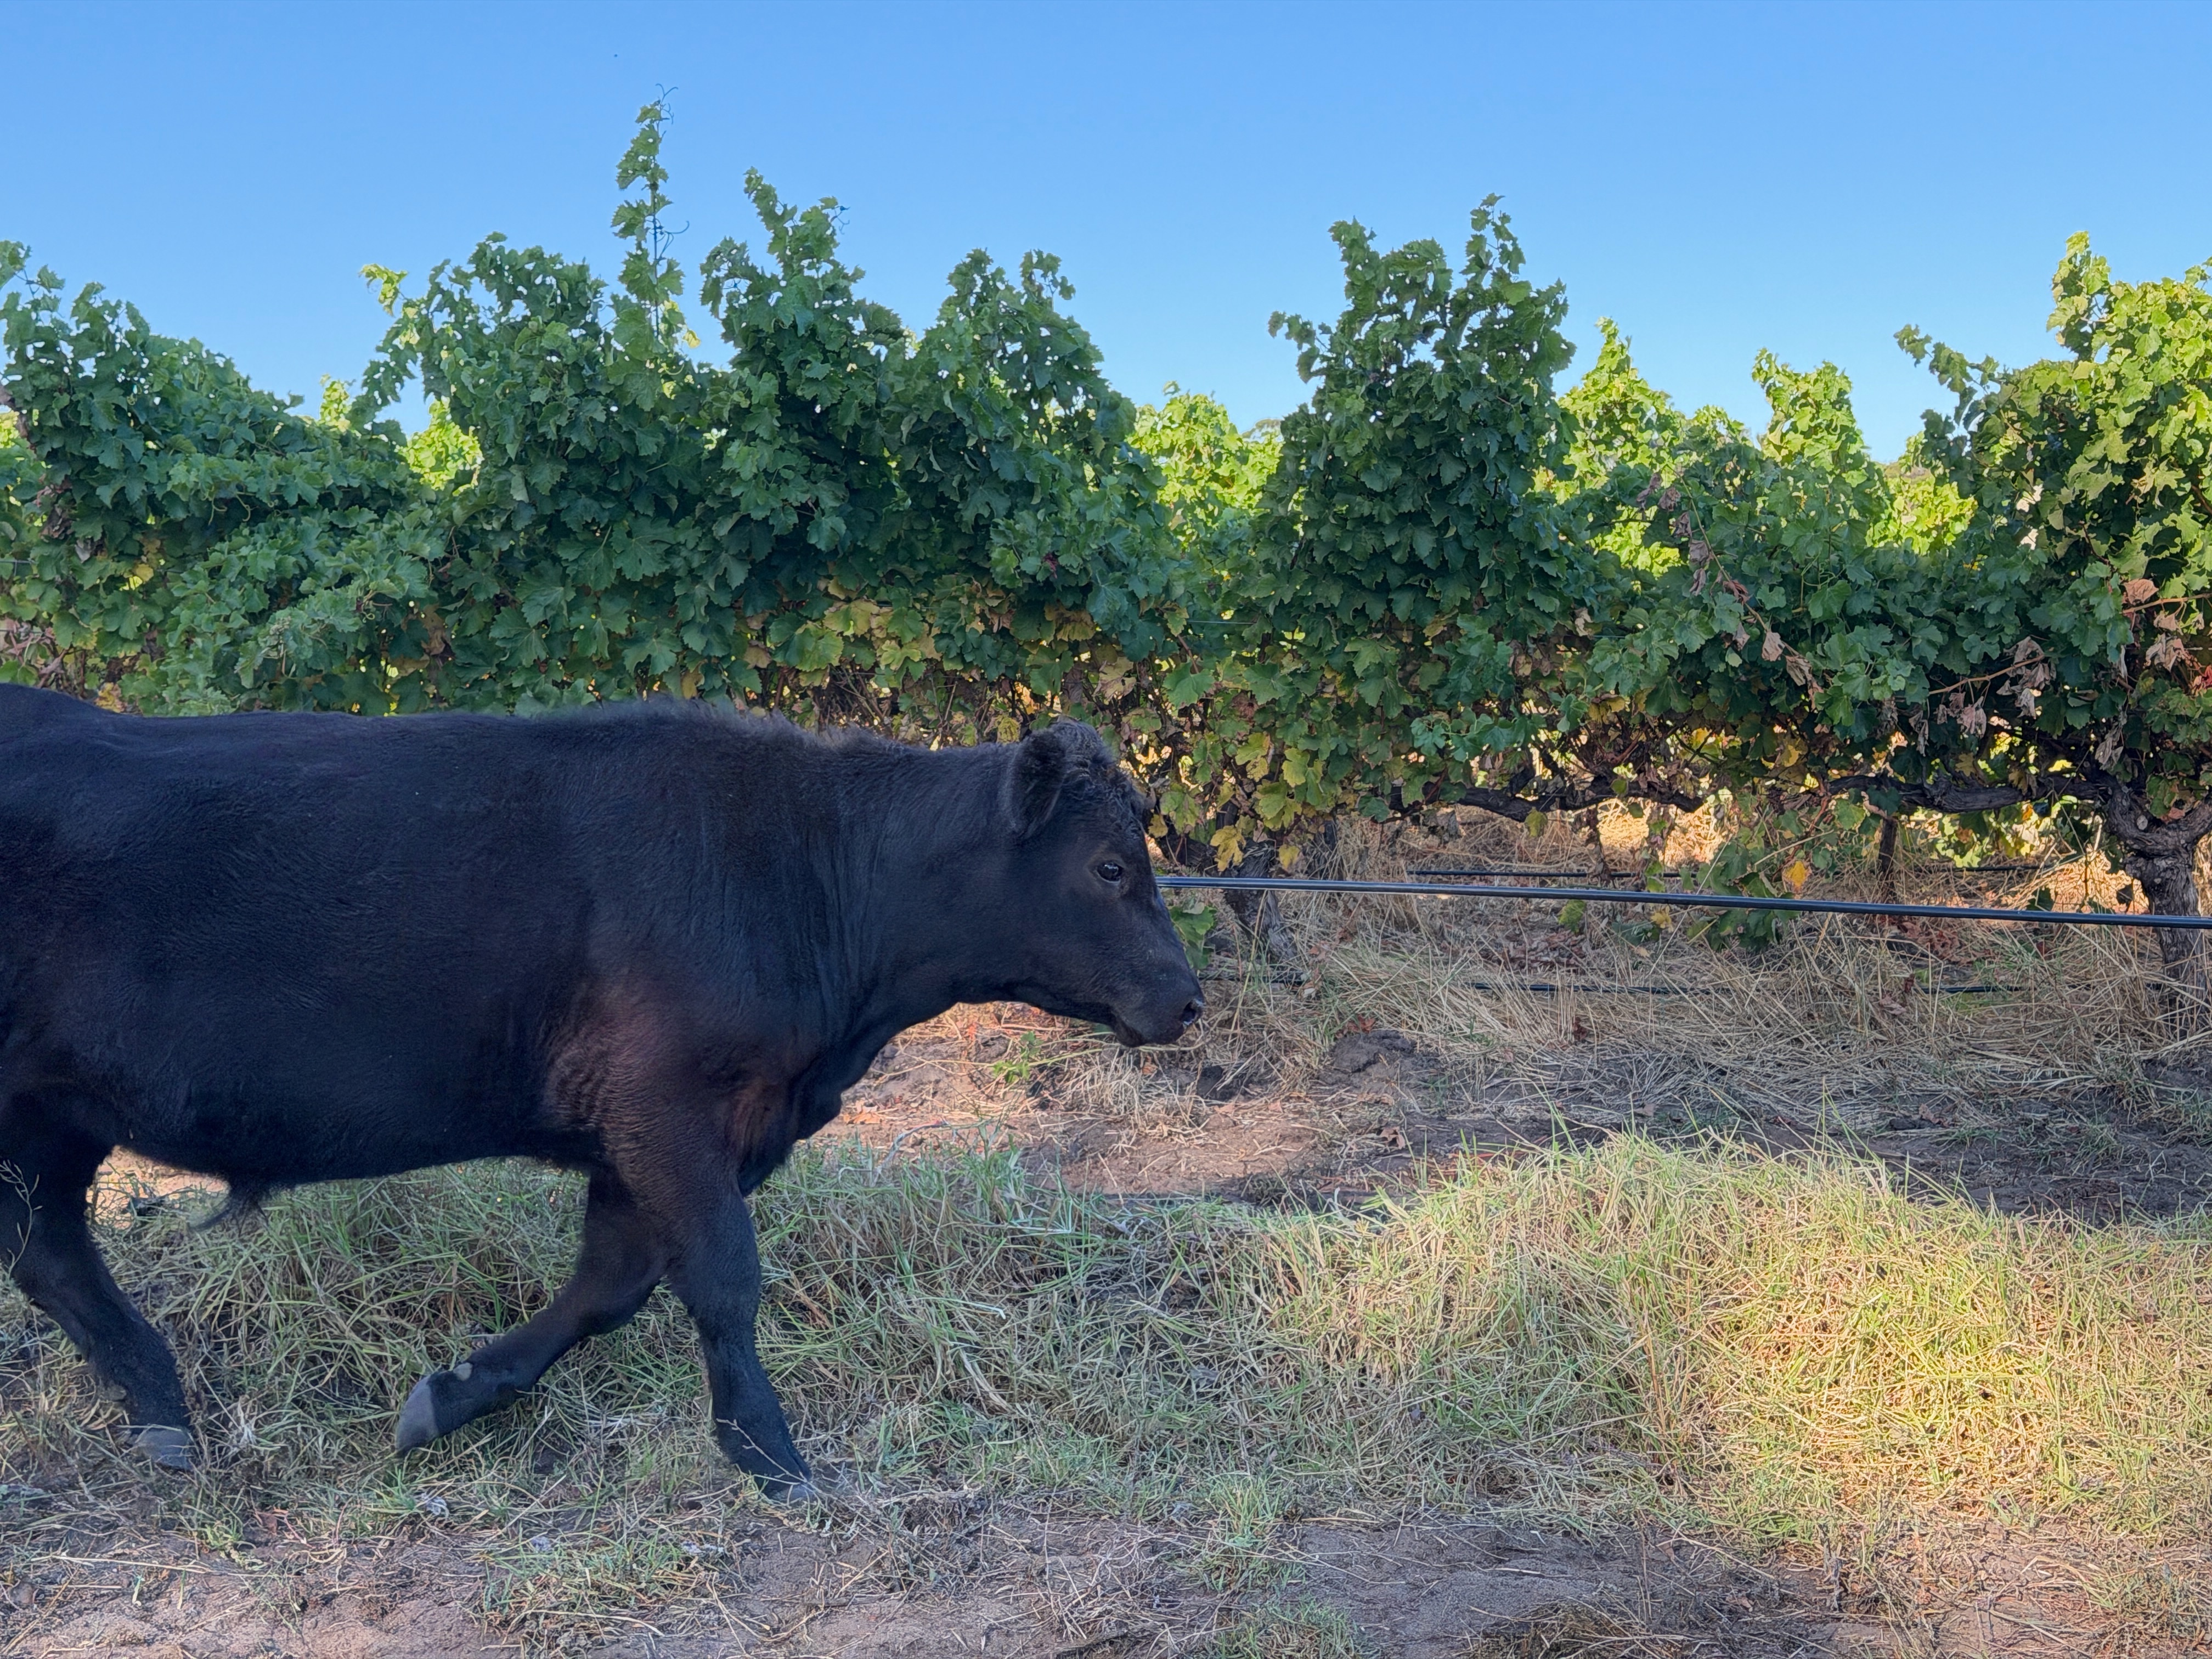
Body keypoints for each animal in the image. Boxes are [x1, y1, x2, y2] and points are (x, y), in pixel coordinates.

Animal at [0, 686, 1203, 1496]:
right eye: (1108, 866)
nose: (1187, 998)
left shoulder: (638, 1135)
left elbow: (609, 1288)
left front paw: (453, 1396)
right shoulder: (667, 1107)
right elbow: (721, 1279)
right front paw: (771, 1453)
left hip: (51, 1118)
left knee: (52, 1257)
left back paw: (162, 1412)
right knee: (51, 1255)